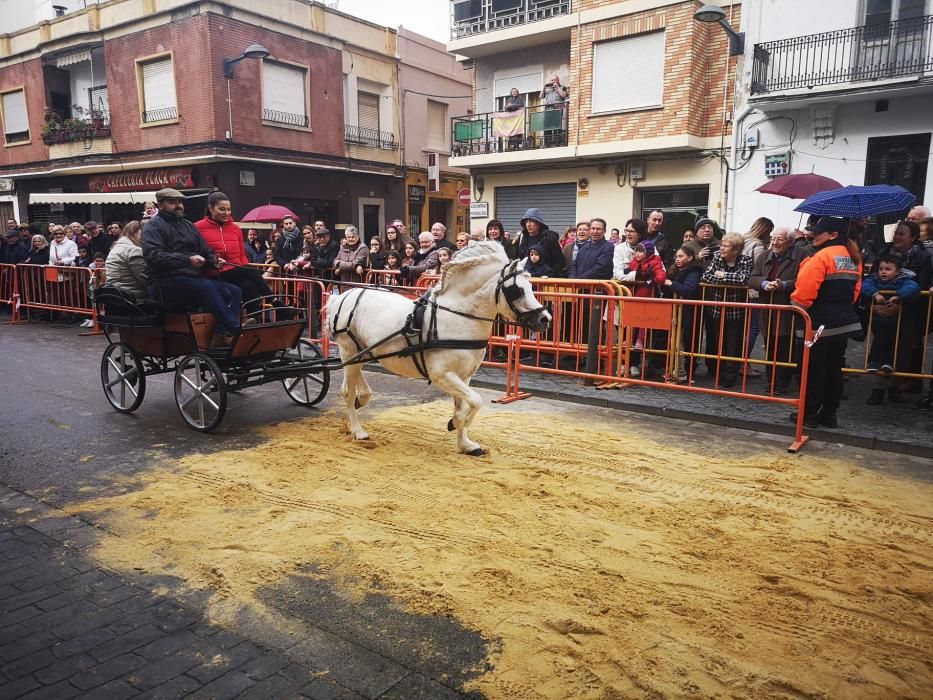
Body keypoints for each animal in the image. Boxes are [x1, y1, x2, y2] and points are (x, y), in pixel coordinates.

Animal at [324, 241, 548, 454]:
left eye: (531, 287)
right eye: (518, 290)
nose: (545, 319)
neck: (457, 315)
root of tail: (344, 295)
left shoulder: (464, 376)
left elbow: (465, 403)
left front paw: (465, 444)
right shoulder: (442, 375)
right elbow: (476, 401)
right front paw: (456, 422)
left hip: (363, 352)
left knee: (357, 378)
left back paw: (363, 398)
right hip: (349, 350)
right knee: (347, 391)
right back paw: (358, 430)